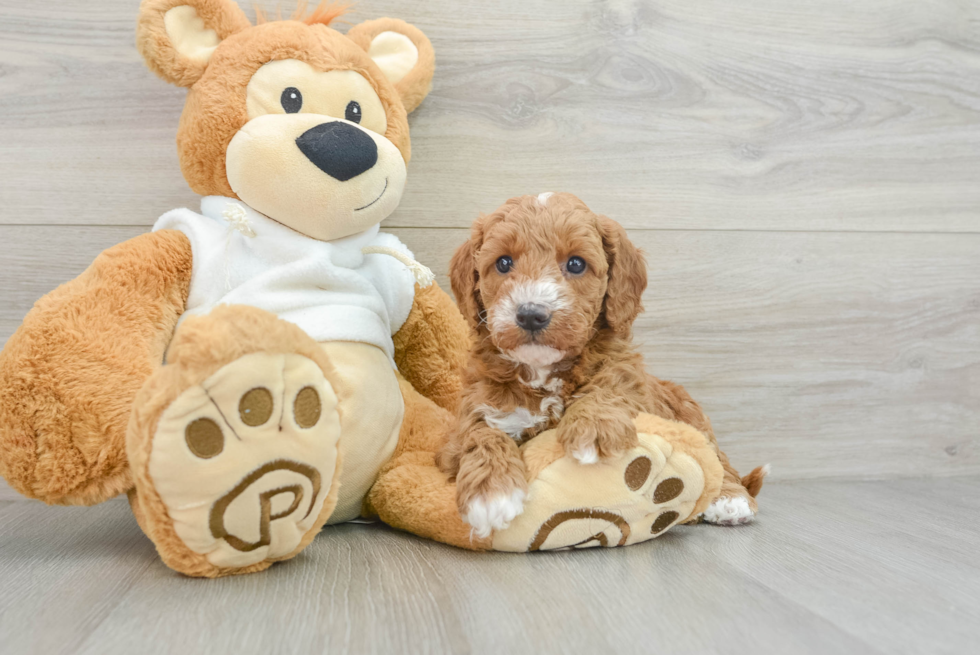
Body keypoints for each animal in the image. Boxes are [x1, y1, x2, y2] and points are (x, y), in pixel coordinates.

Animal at [436, 193, 764, 540]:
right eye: (503, 263)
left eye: (576, 263)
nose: (531, 314)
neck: (543, 372)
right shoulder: (469, 418)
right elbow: (480, 434)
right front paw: (491, 493)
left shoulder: (629, 380)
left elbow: (610, 387)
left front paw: (591, 428)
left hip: (693, 416)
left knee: (717, 458)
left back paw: (730, 500)